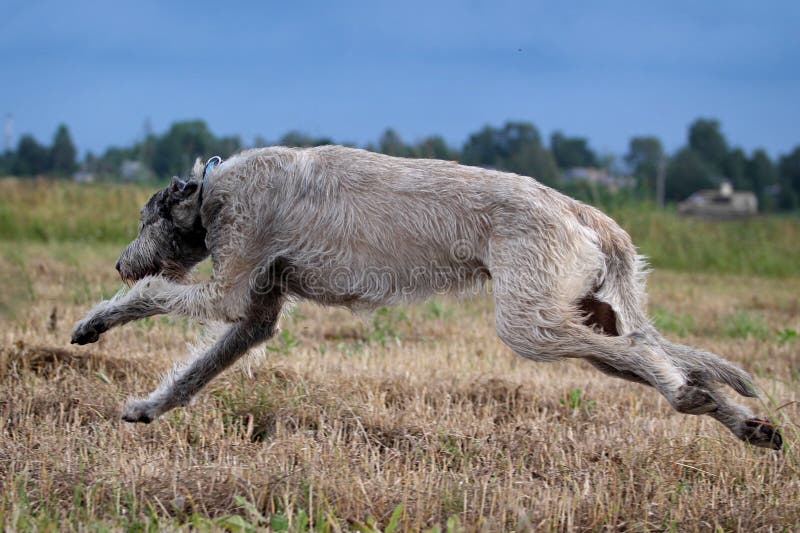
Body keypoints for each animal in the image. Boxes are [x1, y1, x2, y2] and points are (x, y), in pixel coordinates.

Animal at [70, 143, 780, 446]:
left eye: (142, 220)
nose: (120, 260)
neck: (213, 189)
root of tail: (580, 210)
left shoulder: (232, 276)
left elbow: (164, 294)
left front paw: (95, 323)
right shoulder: (255, 311)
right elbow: (203, 365)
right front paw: (148, 408)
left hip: (531, 323)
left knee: (642, 350)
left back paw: (692, 397)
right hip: (583, 313)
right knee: (655, 353)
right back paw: (741, 421)